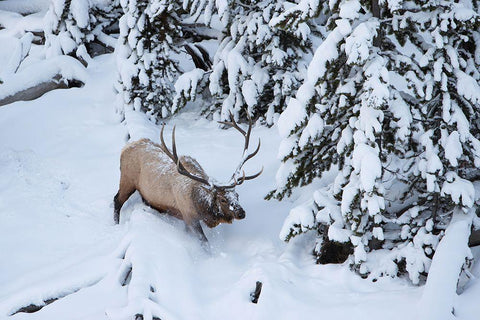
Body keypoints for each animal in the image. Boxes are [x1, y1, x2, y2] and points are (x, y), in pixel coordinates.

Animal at [113, 111, 262, 241]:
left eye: (237, 195)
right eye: (222, 199)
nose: (241, 213)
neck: (201, 207)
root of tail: (125, 148)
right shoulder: (189, 216)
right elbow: (204, 242)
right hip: (127, 179)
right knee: (117, 200)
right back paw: (116, 224)